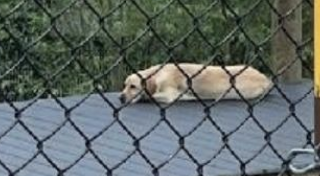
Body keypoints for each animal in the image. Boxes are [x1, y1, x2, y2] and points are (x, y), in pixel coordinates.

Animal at [119, 63, 274, 104]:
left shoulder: (170, 94)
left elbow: (152, 96)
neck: (157, 74)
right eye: (124, 85)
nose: (120, 97)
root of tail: (266, 79)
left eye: (133, 86)